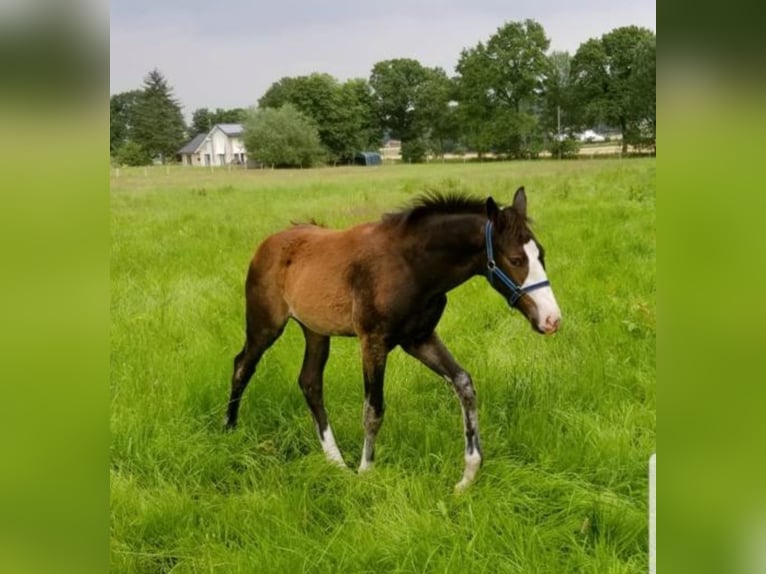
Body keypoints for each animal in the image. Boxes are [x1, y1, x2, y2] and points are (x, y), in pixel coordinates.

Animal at [225, 187, 560, 492]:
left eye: (541, 254)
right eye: (515, 259)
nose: (552, 320)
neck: (412, 266)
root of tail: (268, 244)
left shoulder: (419, 339)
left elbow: (463, 383)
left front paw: (468, 475)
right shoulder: (373, 341)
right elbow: (373, 409)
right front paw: (365, 473)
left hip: (316, 330)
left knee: (310, 382)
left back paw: (335, 462)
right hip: (265, 324)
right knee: (243, 366)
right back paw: (229, 430)